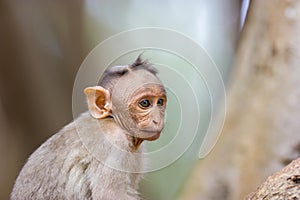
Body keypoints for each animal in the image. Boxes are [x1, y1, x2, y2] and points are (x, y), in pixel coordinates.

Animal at [10, 56, 168, 200]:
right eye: (145, 103)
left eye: (160, 102)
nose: (157, 120)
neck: (111, 120)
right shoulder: (114, 142)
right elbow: (108, 195)